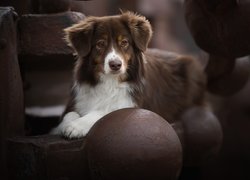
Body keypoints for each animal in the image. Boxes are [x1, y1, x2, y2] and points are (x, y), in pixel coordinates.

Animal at [50, 11, 205, 138]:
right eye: (100, 44)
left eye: (124, 42)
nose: (115, 65)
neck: (110, 81)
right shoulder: (78, 100)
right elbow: (69, 114)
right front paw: (64, 125)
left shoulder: (131, 104)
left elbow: (106, 112)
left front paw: (76, 126)